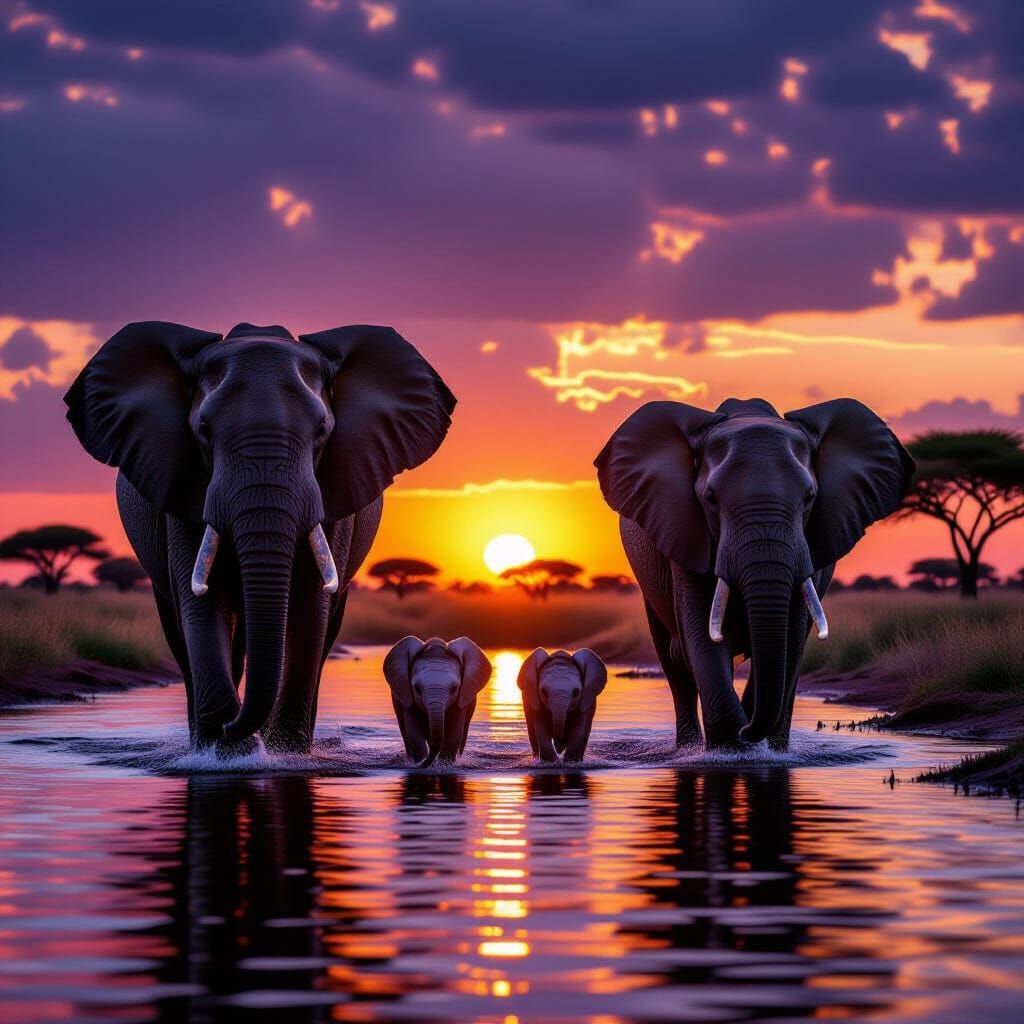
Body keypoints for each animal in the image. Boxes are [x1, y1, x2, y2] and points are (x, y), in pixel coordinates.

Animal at [64, 321, 455, 754]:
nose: (235, 727)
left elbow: (310, 610)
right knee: (182, 632)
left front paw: (284, 753)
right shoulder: (181, 489)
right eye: (203, 430)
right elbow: (201, 603)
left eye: (322, 431)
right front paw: (228, 753)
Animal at [384, 636, 492, 767]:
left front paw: (444, 765)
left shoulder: (461, 699)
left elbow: (455, 733)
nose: (423, 765)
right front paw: (419, 763)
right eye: (417, 689)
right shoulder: (407, 696)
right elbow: (414, 734)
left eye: (454, 688)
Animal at [595, 398, 914, 751]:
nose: (748, 731)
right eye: (711, 499)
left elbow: (791, 637)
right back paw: (688, 748)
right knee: (675, 663)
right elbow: (700, 634)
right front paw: (731, 750)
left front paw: (757, 747)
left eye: (809, 498)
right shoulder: (684, 532)